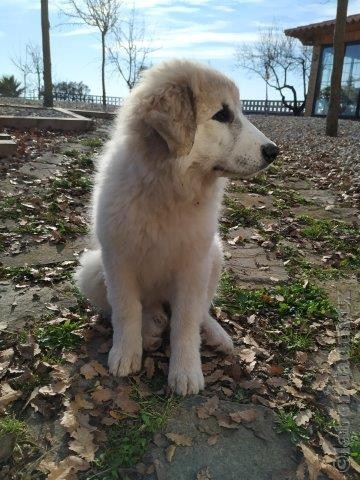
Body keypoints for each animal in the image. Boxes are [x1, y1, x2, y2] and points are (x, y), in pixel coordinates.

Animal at [75, 60, 278, 396]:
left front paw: (186, 372)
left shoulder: (194, 265)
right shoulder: (117, 259)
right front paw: (125, 354)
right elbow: (126, 310)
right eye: (222, 115)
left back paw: (215, 334)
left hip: (215, 255)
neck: (169, 187)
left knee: (201, 311)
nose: (274, 151)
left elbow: (186, 322)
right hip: (91, 269)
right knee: (143, 308)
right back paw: (151, 327)